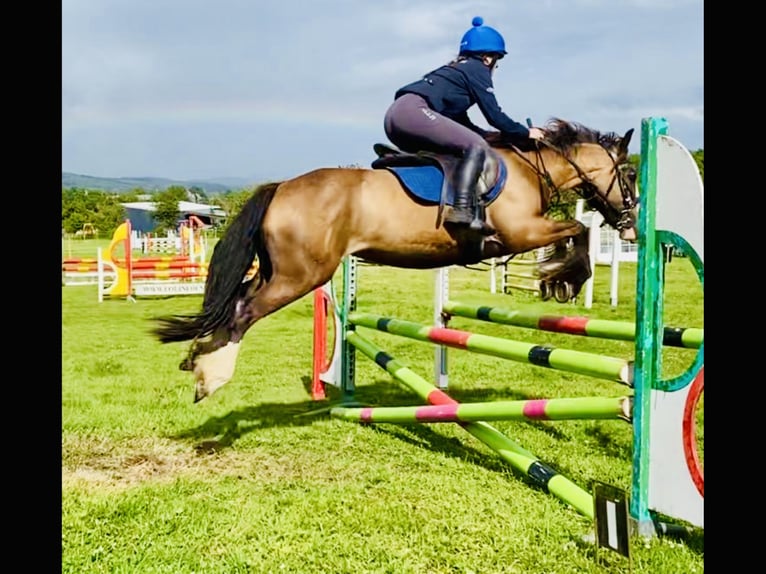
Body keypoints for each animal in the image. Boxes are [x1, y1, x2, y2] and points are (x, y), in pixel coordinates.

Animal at [153, 118, 639, 402]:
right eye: (630, 173)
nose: (631, 224)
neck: (528, 169)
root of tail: (282, 187)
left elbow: (576, 231)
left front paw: (558, 278)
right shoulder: (520, 231)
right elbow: (578, 231)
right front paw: (563, 276)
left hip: (280, 271)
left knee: (234, 301)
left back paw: (196, 358)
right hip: (301, 275)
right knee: (241, 312)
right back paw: (210, 377)